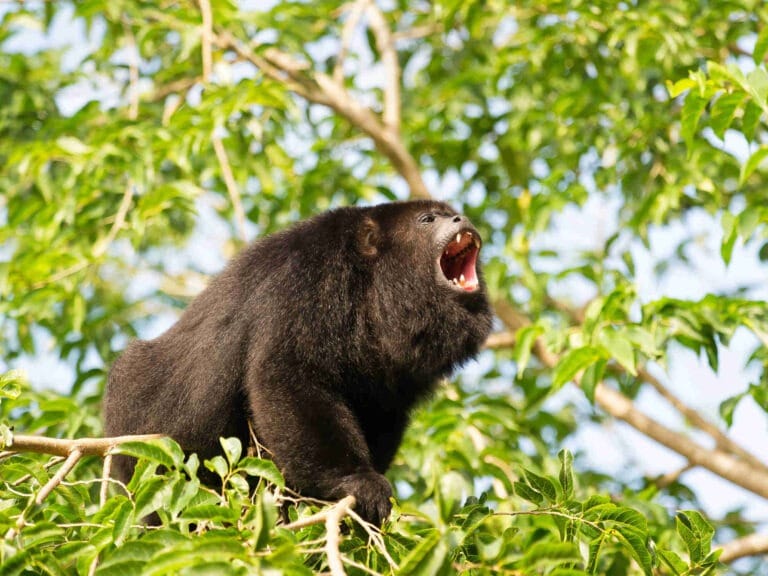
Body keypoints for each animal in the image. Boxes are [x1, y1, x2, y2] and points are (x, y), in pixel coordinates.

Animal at [103, 200, 493, 525]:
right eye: (428, 220)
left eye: (451, 213)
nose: (461, 219)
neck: (373, 283)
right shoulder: (307, 282)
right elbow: (287, 377)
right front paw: (356, 481)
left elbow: (382, 410)